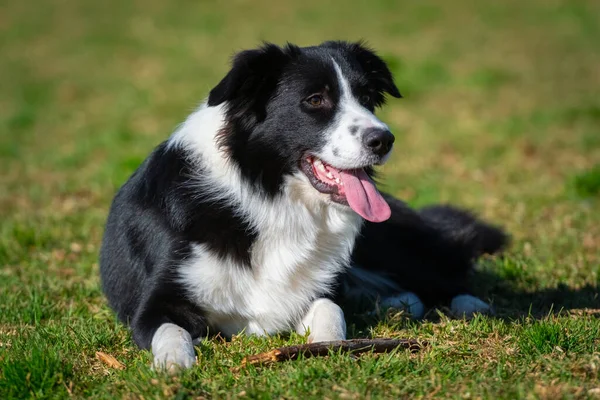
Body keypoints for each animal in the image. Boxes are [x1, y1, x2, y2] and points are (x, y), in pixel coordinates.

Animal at [101, 41, 508, 372]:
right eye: (315, 100)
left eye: (367, 97)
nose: (384, 140)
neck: (271, 200)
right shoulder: (153, 306)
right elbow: (170, 332)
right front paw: (175, 363)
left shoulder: (316, 290)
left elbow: (332, 309)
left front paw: (328, 345)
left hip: (388, 244)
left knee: (446, 275)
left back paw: (470, 304)